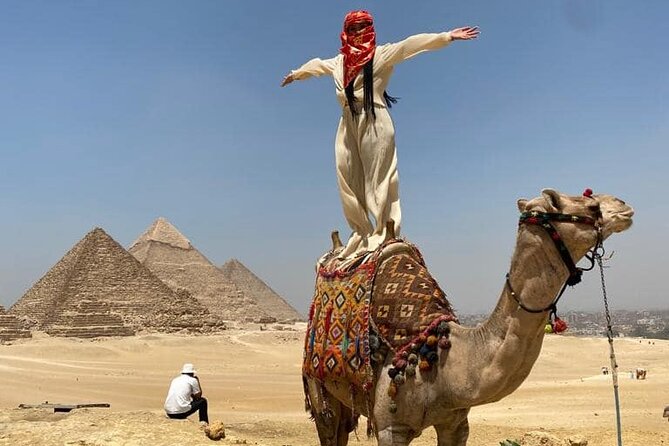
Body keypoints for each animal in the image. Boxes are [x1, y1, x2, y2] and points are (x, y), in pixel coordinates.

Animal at [304, 188, 634, 446]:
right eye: (589, 205)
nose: (623, 204)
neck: (443, 358)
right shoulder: (390, 427)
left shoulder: (456, 423)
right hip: (318, 388)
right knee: (329, 427)